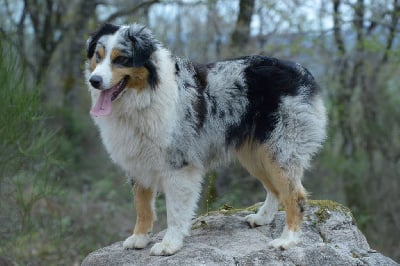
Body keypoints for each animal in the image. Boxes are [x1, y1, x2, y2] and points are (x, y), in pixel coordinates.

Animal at [85, 23, 328, 256]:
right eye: (98, 56)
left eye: (121, 59)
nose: (94, 80)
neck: (145, 95)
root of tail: (302, 72)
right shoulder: (137, 162)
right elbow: (142, 206)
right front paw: (139, 238)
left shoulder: (179, 166)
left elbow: (175, 212)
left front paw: (170, 245)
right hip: (257, 156)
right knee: (276, 191)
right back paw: (262, 218)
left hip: (280, 152)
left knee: (296, 196)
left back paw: (287, 240)